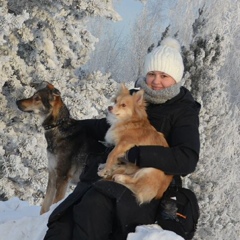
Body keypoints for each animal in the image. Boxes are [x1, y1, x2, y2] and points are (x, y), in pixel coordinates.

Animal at [16, 82, 102, 214]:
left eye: (37, 98)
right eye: (33, 95)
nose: (17, 102)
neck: (57, 126)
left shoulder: (62, 177)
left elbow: (55, 203)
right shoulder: (52, 175)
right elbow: (45, 206)